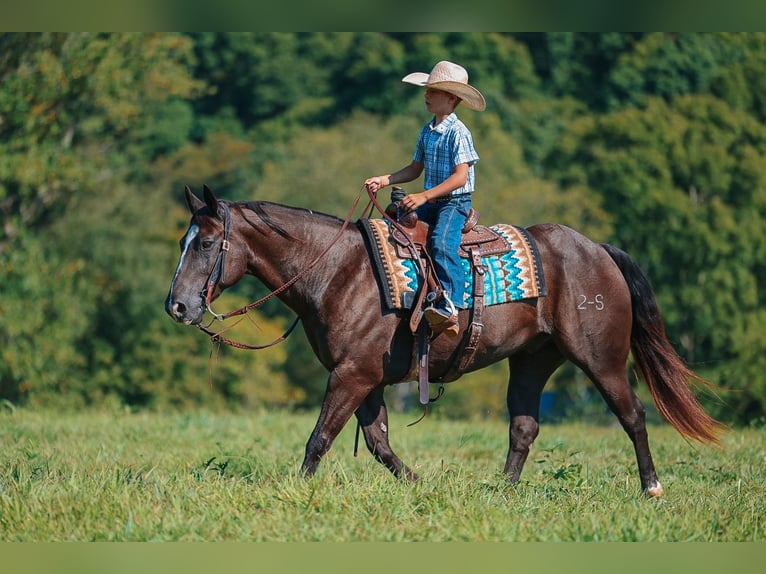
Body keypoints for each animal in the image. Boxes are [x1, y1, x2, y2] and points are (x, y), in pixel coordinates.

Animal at [165, 185, 723, 497]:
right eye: (184, 241)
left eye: (208, 243)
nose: (178, 306)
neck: (338, 272)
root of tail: (599, 250)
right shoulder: (365, 378)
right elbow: (378, 444)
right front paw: (419, 486)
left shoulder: (352, 375)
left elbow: (320, 437)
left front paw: (298, 493)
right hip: (532, 361)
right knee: (524, 427)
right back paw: (501, 494)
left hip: (600, 360)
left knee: (633, 415)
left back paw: (651, 487)